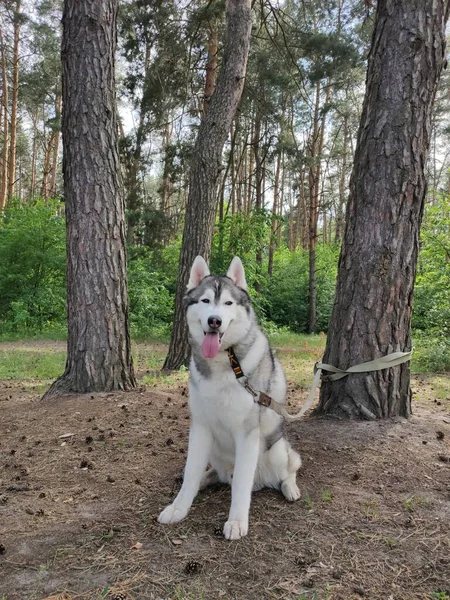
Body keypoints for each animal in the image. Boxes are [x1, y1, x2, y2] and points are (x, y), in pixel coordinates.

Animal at [156, 256, 300, 540]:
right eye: (205, 301)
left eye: (228, 303)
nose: (214, 321)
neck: (225, 363)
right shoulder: (200, 428)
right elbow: (191, 472)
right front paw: (179, 507)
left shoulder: (247, 434)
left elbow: (241, 486)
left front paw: (236, 521)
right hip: (214, 449)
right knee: (212, 474)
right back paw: (204, 480)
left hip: (277, 450)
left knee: (290, 468)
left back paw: (290, 487)